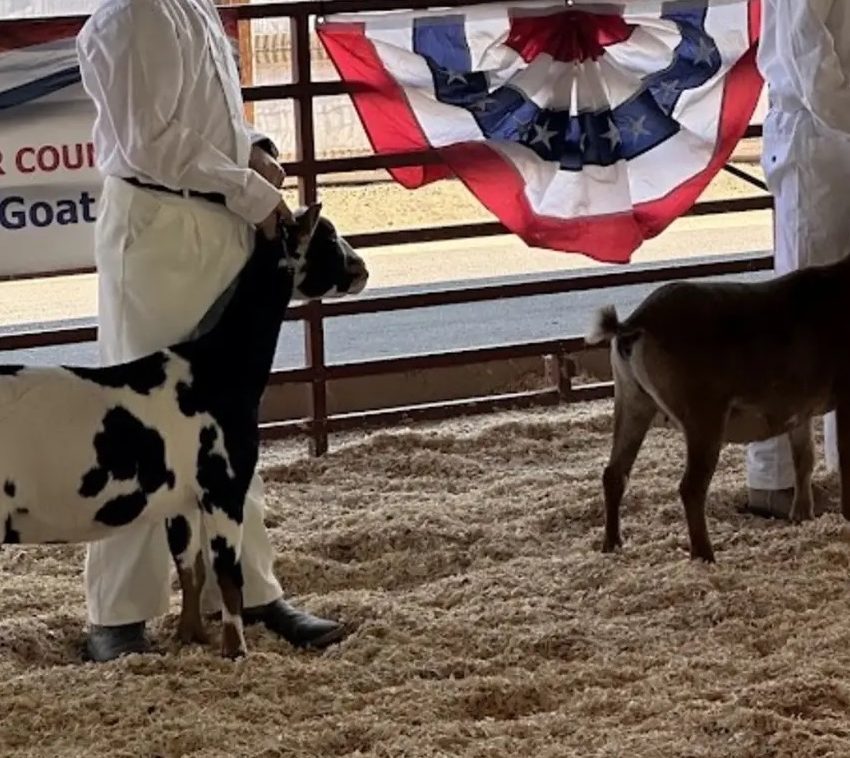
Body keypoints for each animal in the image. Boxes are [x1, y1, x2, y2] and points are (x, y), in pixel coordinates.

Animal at [586, 255, 850, 563]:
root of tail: (632, 323)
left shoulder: (800, 407)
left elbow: (804, 457)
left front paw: (802, 517)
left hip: (630, 400)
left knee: (614, 473)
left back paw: (612, 545)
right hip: (702, 413)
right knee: (691, 486)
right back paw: (705, 556)